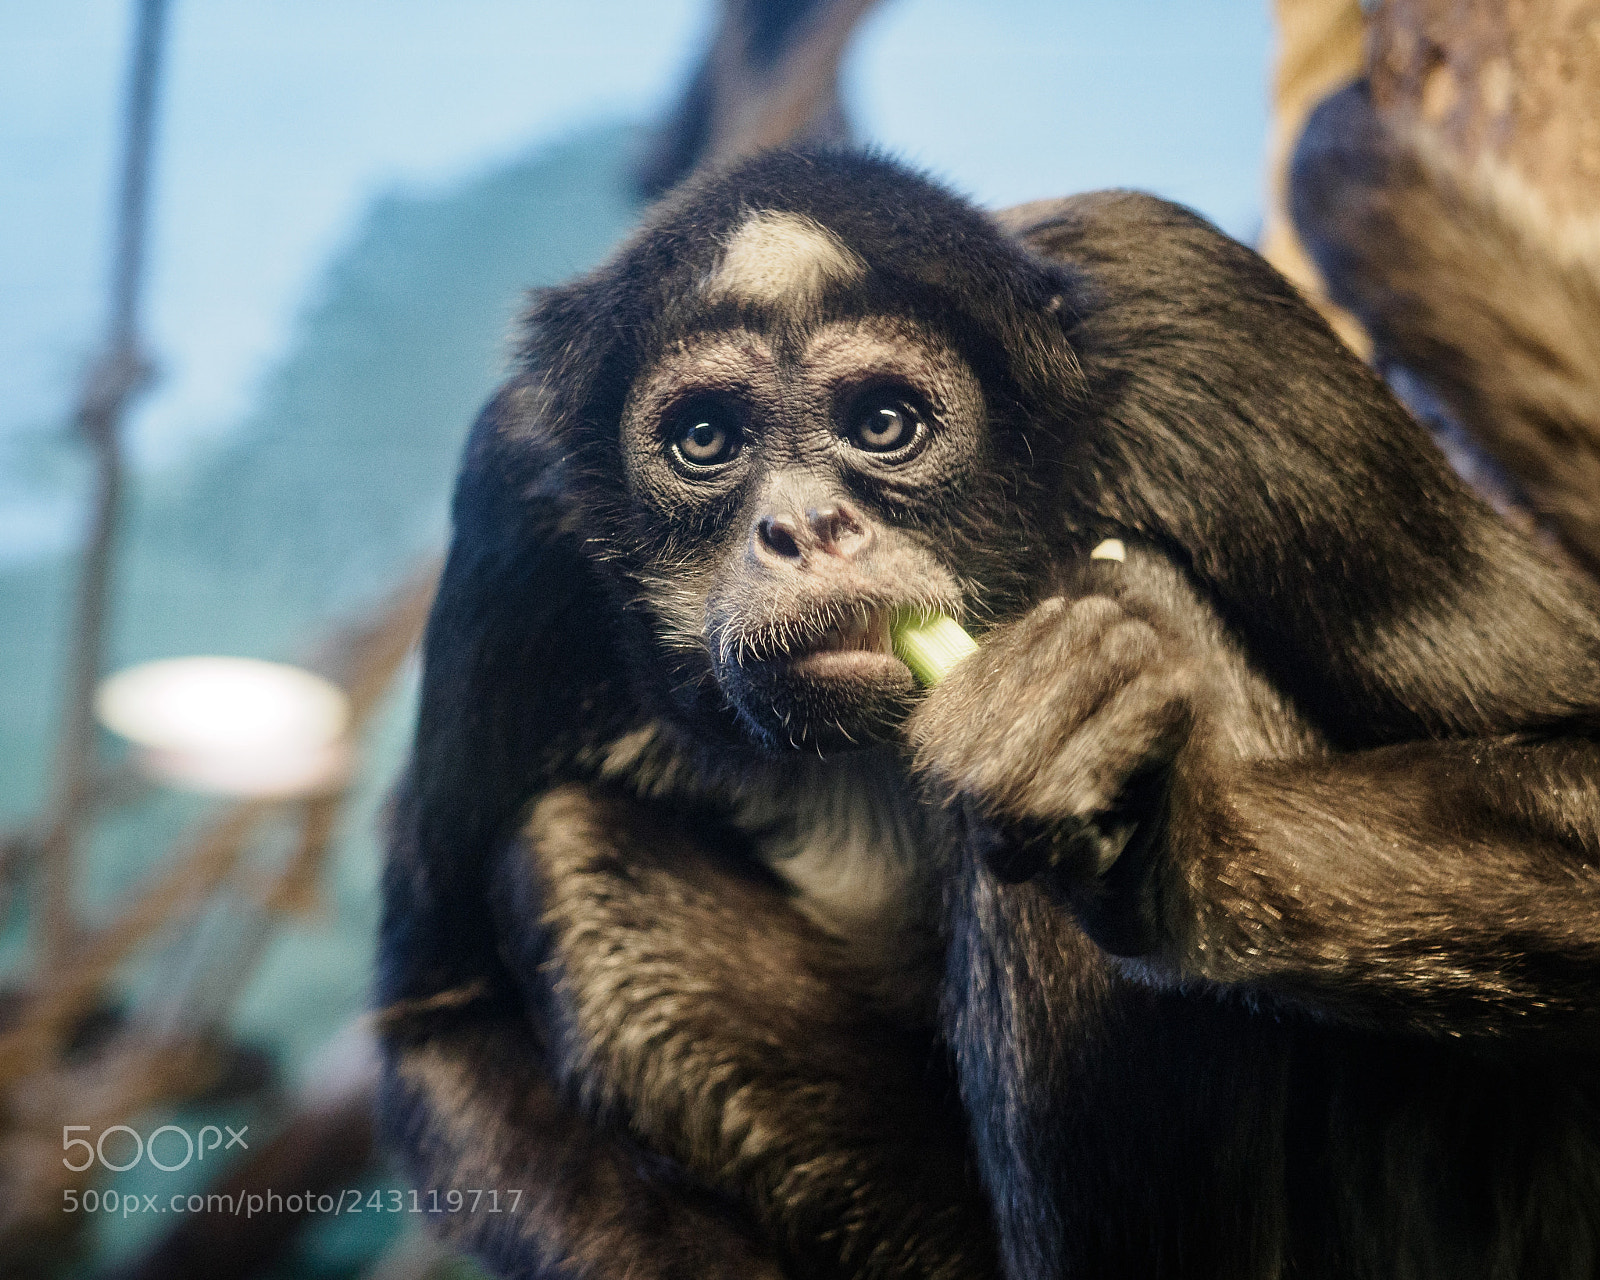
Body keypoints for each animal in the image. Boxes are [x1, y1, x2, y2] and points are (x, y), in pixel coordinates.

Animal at [377, 148, 1600, 1279]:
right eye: (705, 441)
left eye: (883, 422)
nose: (805, 527)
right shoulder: (518, 495)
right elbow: (441, 1020)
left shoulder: (1197, 322)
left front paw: (1167, 834)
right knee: (564, 849)